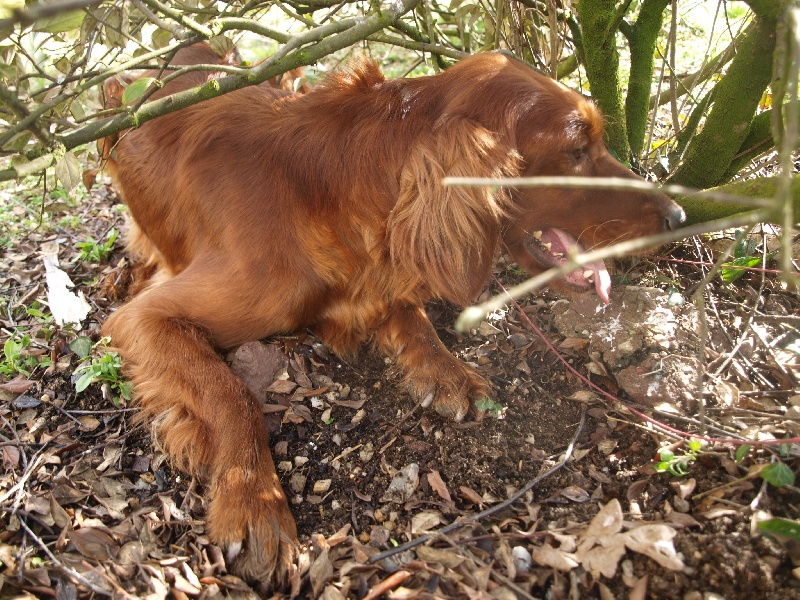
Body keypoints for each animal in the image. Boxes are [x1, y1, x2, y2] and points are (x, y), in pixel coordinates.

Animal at [100, 47, 684, 584]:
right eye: (576, 149)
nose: (680, 215)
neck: (329, 191)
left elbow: (412, 318)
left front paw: (447, 371)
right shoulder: (146, 318)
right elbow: (231, 394)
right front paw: (253, 503)